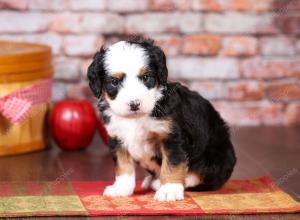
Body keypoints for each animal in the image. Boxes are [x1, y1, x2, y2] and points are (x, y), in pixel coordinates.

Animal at [87, 37, 237, 202]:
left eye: (146, 77)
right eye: (114, 82)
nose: (134, 104)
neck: (137, 118)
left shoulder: (171, 137)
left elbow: (172, 164)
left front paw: (169, 190)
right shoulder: (117, 137)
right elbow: (123, 165)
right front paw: (121, 188)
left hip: (215, 157)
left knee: (201, 178)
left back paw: (162, 183)